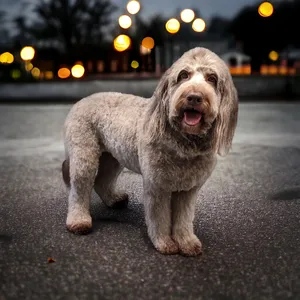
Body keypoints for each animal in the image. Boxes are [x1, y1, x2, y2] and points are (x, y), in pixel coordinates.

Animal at [62, 47, 238, 255]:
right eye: (183, 75)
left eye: (212, 78)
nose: (194, 96)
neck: (182, 144)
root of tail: (81, 101)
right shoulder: (157, 186)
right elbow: (159, 218)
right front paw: (164, 243)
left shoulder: (188, 189)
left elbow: (184, 219)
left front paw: (186, 241)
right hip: (84, 155)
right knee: (79, 189)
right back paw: (79, 221)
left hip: (113, 157)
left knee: (102, 180)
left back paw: (114, 200)